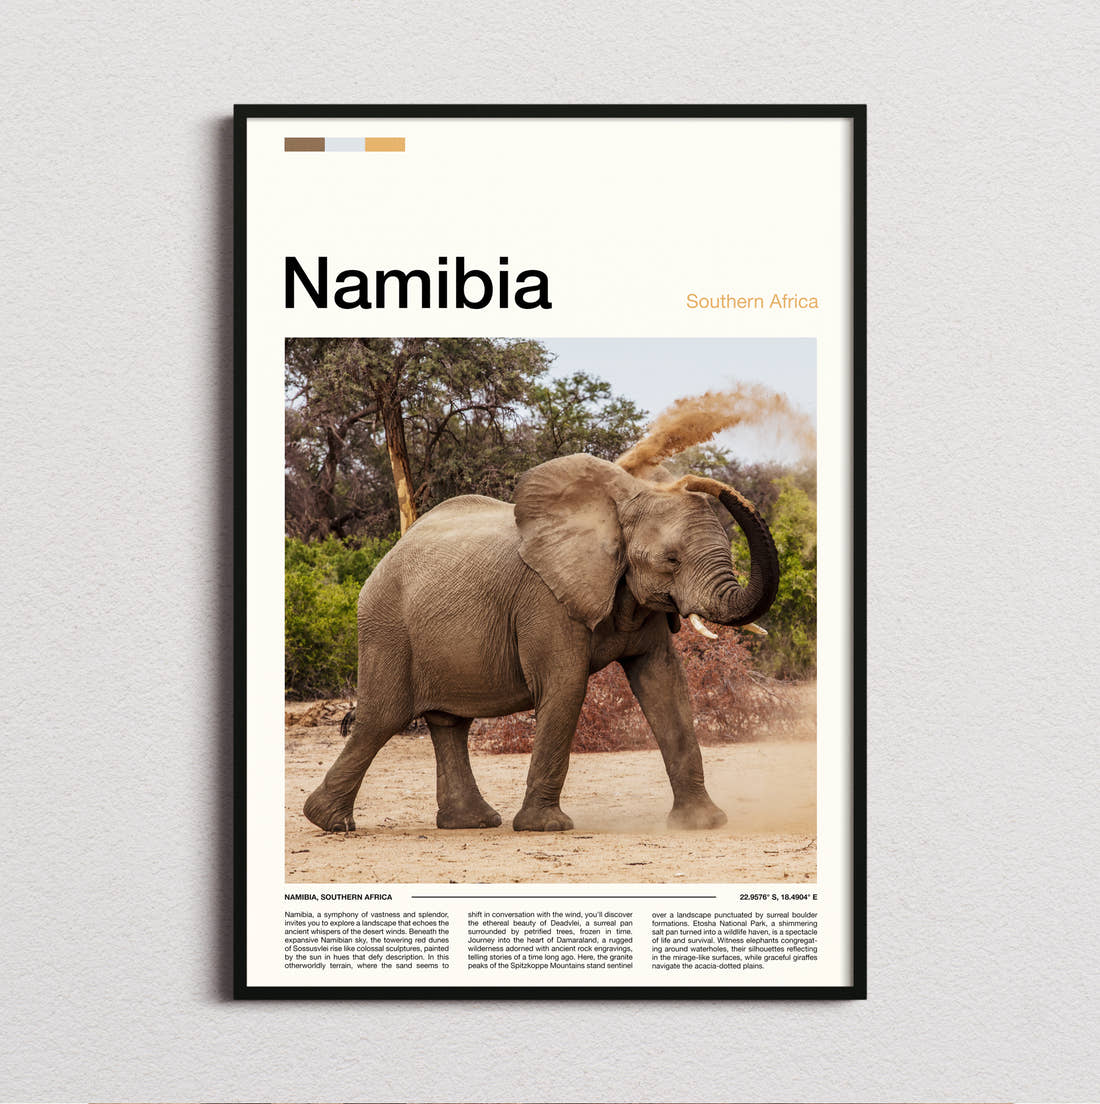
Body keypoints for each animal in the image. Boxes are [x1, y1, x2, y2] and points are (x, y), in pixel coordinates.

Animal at [303, 452, 779, 834]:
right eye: (671, 560)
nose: (693, 481)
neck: (619, 503)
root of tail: (388, 554)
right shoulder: (546, 598)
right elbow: (566, 686)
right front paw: (546, 828)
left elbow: (665, 684)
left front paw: (704, 823)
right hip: (386, 626)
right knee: (382, 719)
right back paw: (330, 823)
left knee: (449, 724)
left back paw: (472, 823)